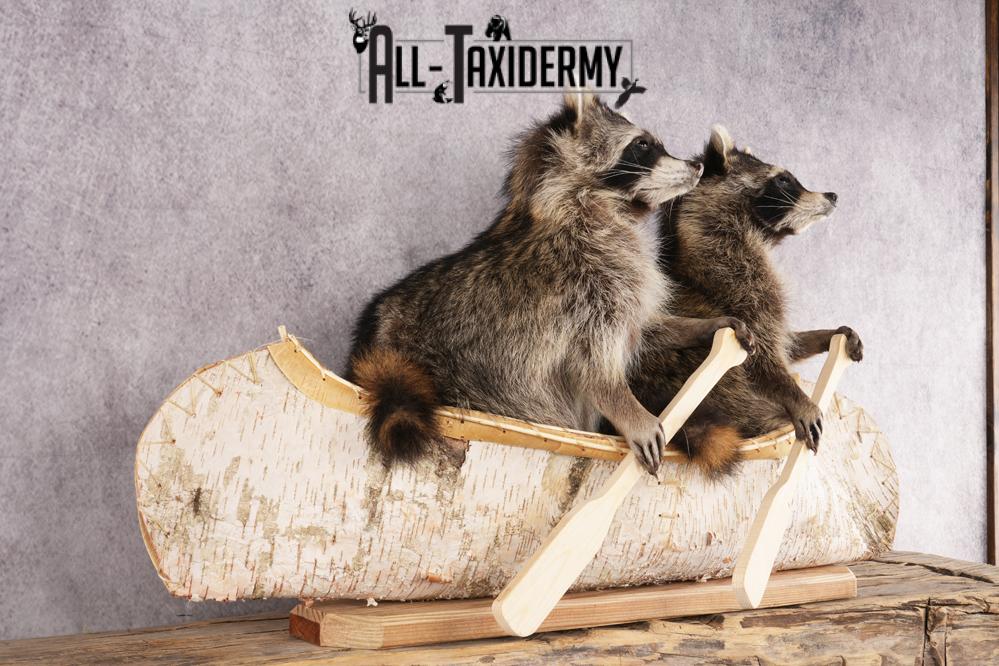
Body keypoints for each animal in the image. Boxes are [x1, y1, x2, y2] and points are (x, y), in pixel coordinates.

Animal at [347, 94, 708, 474]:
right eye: (643, 145)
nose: (697, 166)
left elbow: (642, 329)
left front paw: (698, 326)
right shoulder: (588, 281)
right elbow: (594, 365)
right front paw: (627, 408)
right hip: (456, 377)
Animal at [628, 125, 863, 476]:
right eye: (784, 180)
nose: (832, 195)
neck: (754, 235)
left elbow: (787, 344)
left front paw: (829, 334)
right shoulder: (742, 290)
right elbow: (765, 361)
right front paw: (795, 395)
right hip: (708, 382)